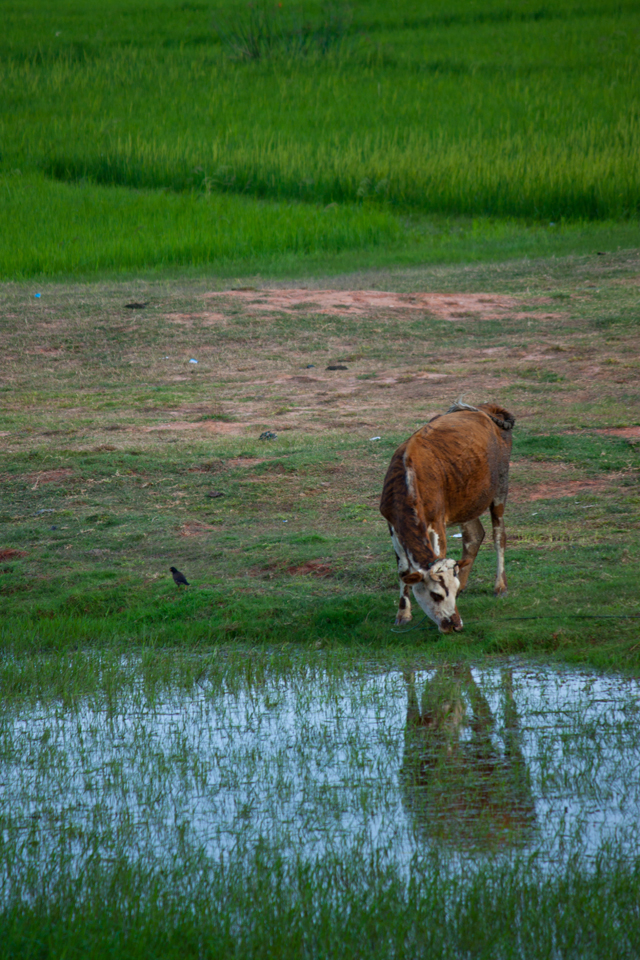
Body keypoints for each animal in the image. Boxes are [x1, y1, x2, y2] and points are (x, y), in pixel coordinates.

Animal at [380, 402, 516, 632]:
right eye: (436, 595)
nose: (456, 625)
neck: (409, 478)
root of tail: (484, 409)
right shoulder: (392, 524)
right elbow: (403, 570)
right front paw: (403, 614)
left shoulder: (437, 521)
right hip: (466, 502)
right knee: (474, 535)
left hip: (500, 486)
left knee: (499, 534)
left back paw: (500, 586)